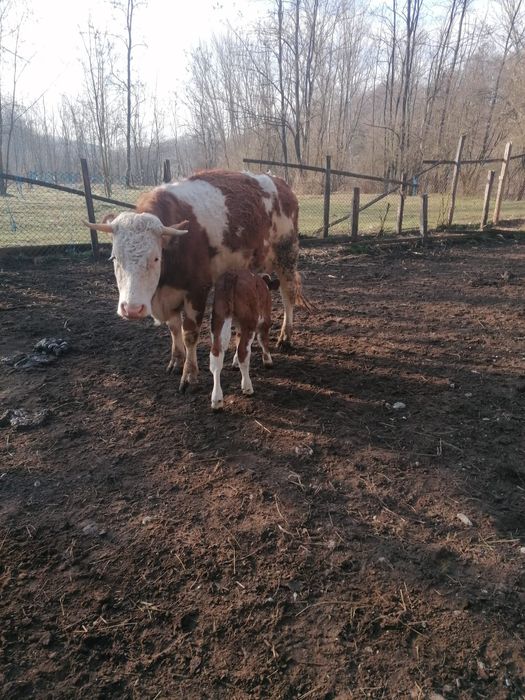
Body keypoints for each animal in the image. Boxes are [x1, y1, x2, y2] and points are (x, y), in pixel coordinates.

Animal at [84, 169, 307, 392]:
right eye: (114, 258)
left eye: (155, 258)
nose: (131, 309)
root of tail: (279, 182)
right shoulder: (170, 294)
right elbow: (174, 328)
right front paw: (176, 360)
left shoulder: (197, 290)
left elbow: (189, 334)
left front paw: (190, 374)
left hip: (286, 255)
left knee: (288, 295)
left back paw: (285, 336)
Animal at [209, 270, 279, 411]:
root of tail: (231, 275)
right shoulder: (265, 319)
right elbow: (263, 339)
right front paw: (268, 361)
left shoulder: (239, 326)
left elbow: (237, 339)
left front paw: (235, 362)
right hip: (250, 321)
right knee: (243, 351)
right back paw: (247, 387)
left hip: (218, 317)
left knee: (216, 354)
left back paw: (216, 399)